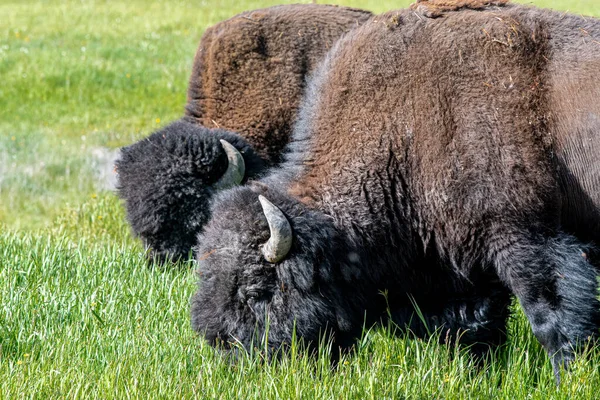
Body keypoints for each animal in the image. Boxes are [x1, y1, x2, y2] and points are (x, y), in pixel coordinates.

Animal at [191, 4, 600, 382]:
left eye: (257, 291)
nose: (233, 359)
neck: (403, 131)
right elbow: (479, 329)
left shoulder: (521, 237)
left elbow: (551, 314)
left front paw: (568, 376)